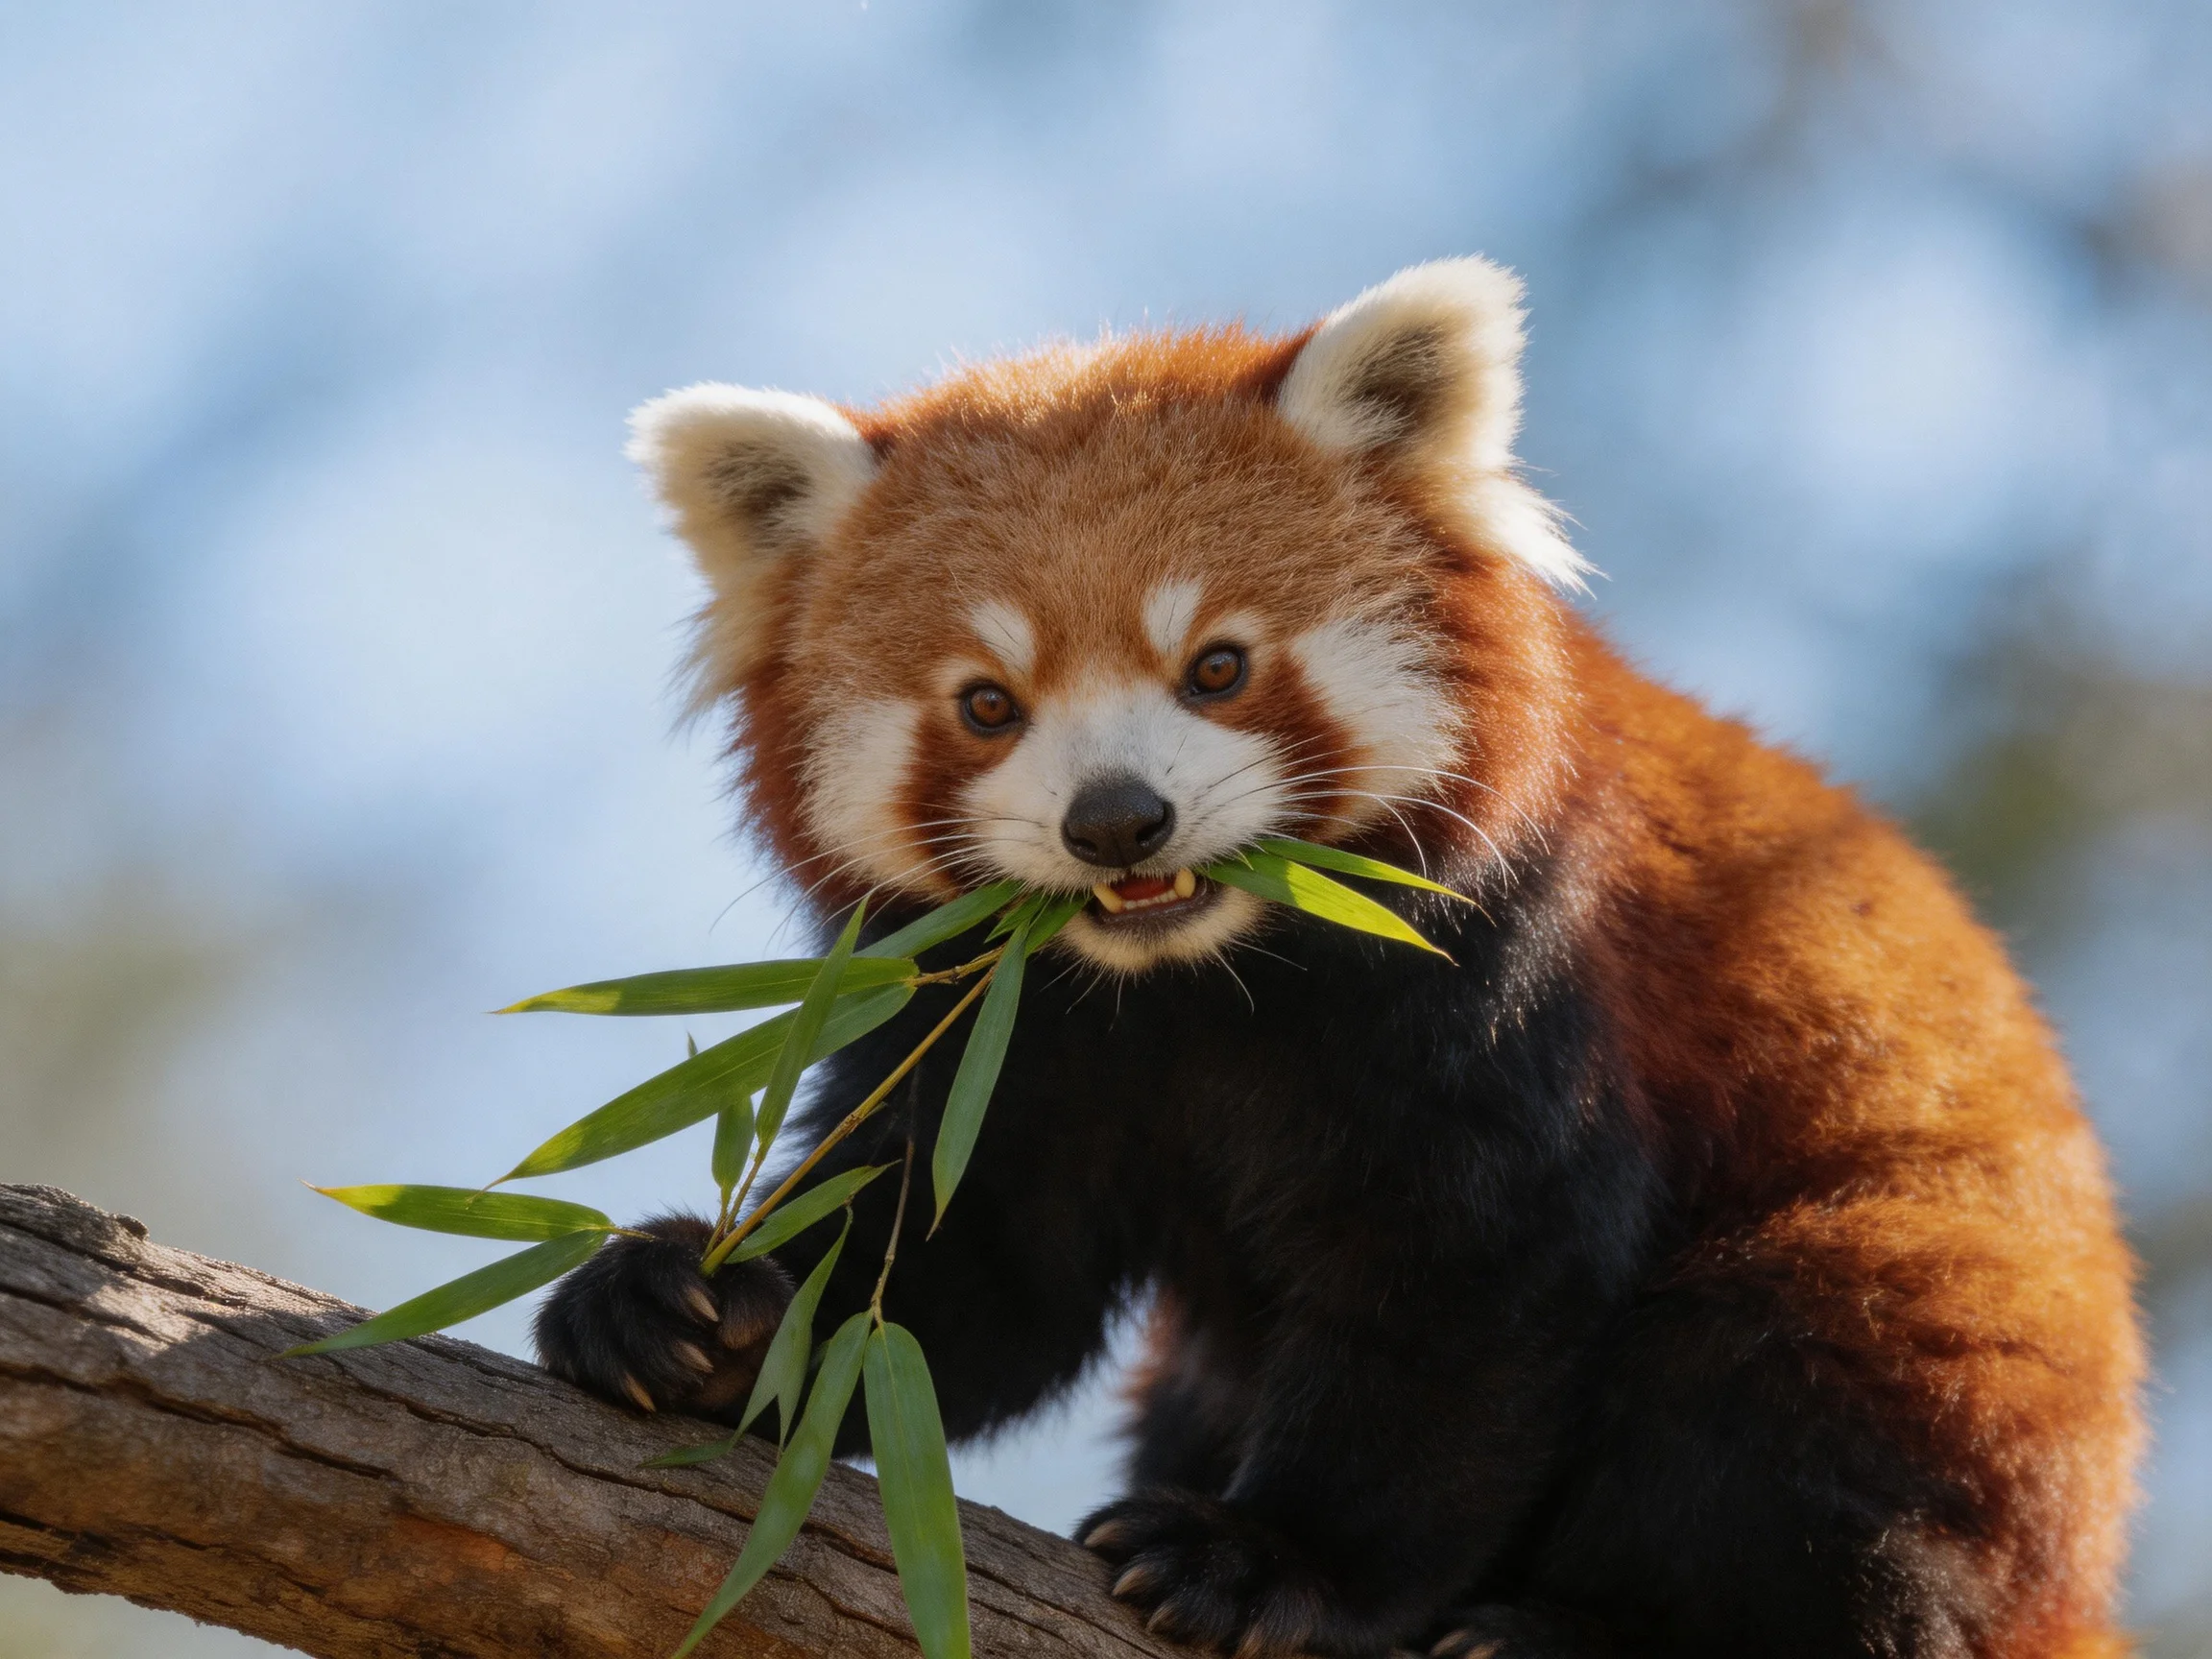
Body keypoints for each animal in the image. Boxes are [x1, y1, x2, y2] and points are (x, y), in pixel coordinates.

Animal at [534, 260, 2143, 1659]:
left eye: (1219, 667)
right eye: (987, 704)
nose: (1116, 820)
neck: (1196, 981)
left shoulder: (1504, 977)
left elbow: (1466, 1288)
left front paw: (1269, 1559)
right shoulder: (1003, 1029)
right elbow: (953, 1269)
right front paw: (695, 1309)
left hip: (1930, 1335)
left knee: (1775, 1417)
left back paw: (1577, 1629)